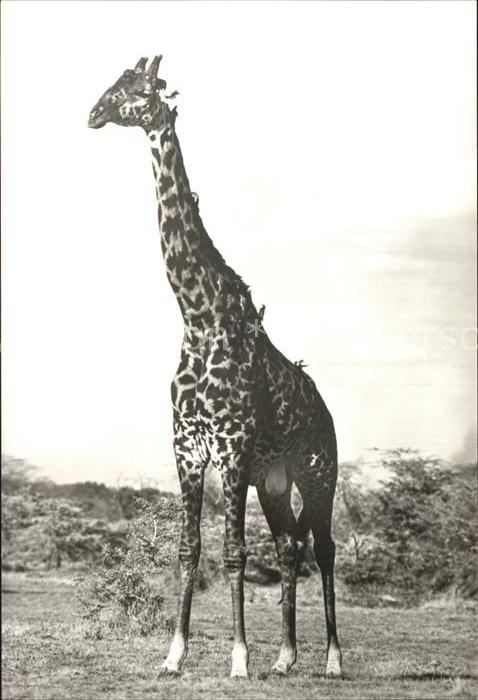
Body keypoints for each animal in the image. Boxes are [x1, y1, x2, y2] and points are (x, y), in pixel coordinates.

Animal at [89, 55, 342, 680]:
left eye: (135, 90)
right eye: (113, 84)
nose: (93, 114)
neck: (199, 318)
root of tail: (325, 410)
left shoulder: (230, 450)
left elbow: (232, 554)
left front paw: (238, 661)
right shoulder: (186, 447)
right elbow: (190, 549)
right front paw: (174, 655)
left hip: (319, 472)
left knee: (324, 549)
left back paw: (331, 660)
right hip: (275, 482)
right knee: (289, 546)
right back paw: (285, 658)